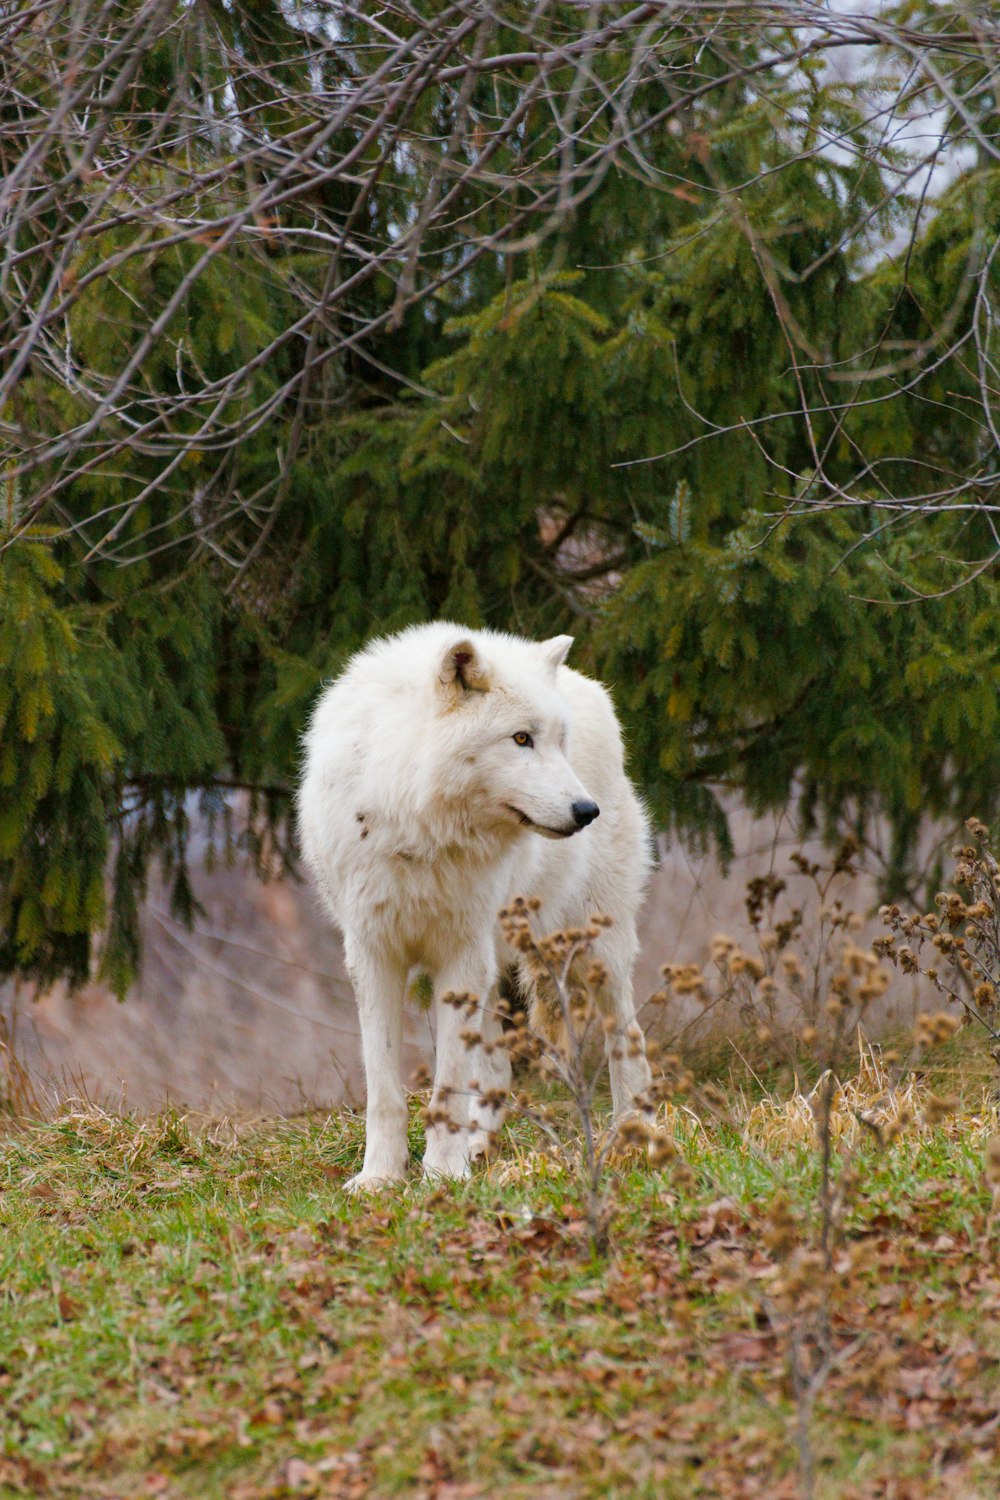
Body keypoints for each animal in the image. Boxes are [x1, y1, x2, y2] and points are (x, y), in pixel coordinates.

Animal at [301, 618, 653, 1182]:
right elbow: (384, 1087)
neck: (417, 827)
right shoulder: (373, 953)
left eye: (560, 742)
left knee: (628, 1034)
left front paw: (443, 1175)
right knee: (498, 1070)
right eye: (521, 739)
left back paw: (635, 1136)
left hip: (592, 949)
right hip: (495, 963)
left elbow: (448, 1081)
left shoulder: (460, 955)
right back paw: (480, 1146)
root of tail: (591, 686)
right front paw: (381, 1178)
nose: (586, 810)